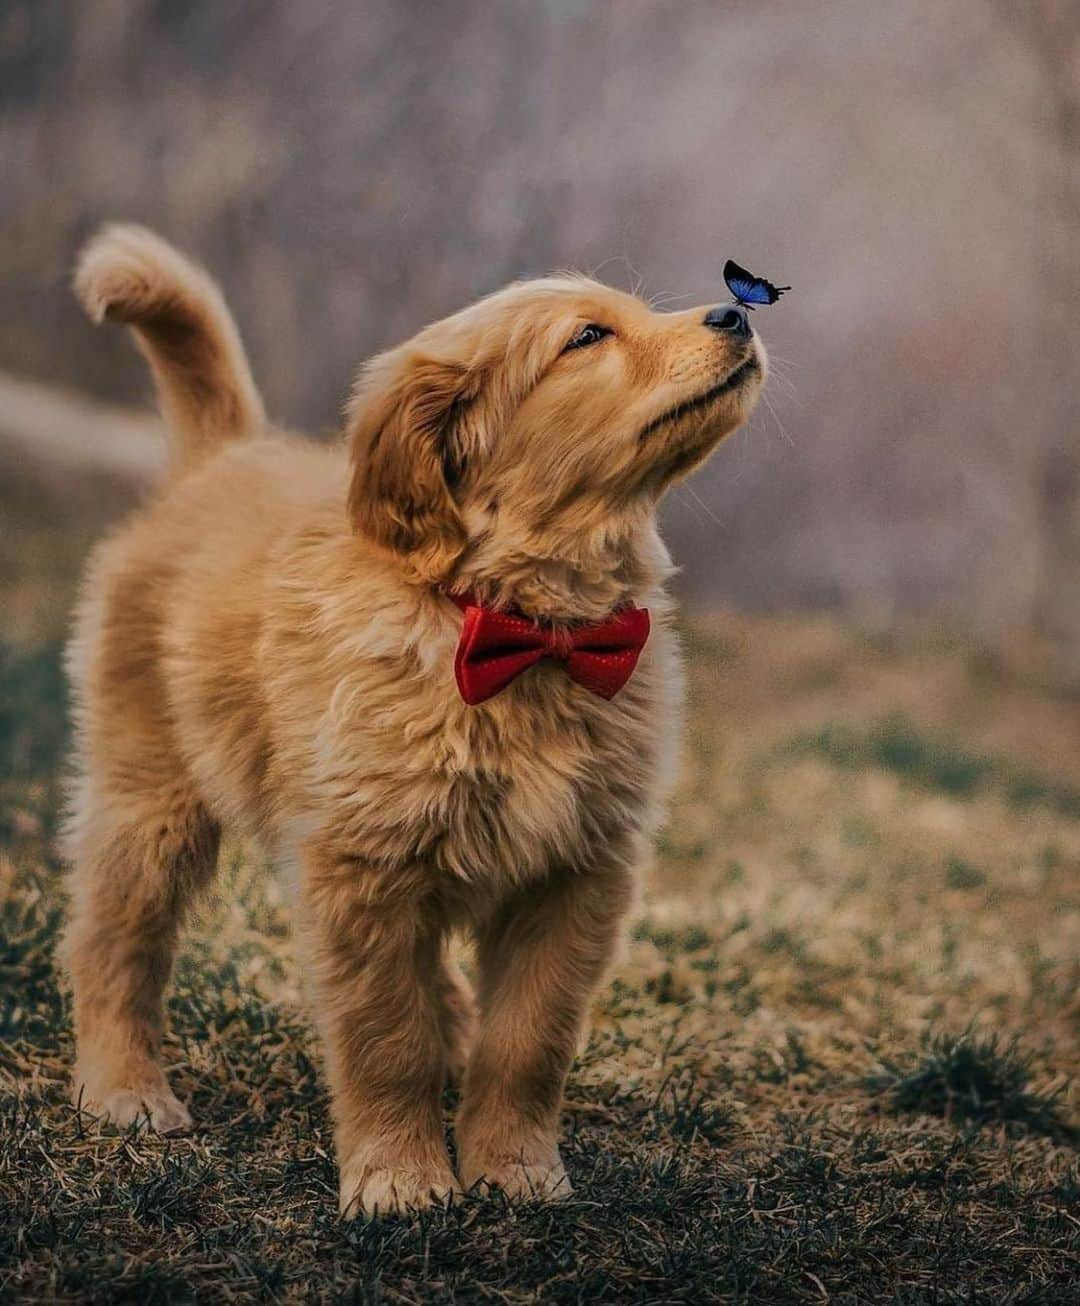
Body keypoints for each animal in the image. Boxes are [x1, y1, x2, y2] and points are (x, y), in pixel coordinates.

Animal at [61, 222, 767, 1211]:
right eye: (588, 337)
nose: (737, 313)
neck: (523, 627)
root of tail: (223, 455)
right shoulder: (364, 871)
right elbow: (386, 1038)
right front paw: (400, 1181)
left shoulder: (578, 873)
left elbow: (528, 1041)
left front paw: (515, 1169)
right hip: (147, 792)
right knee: (112, 941)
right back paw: (122, 1087)